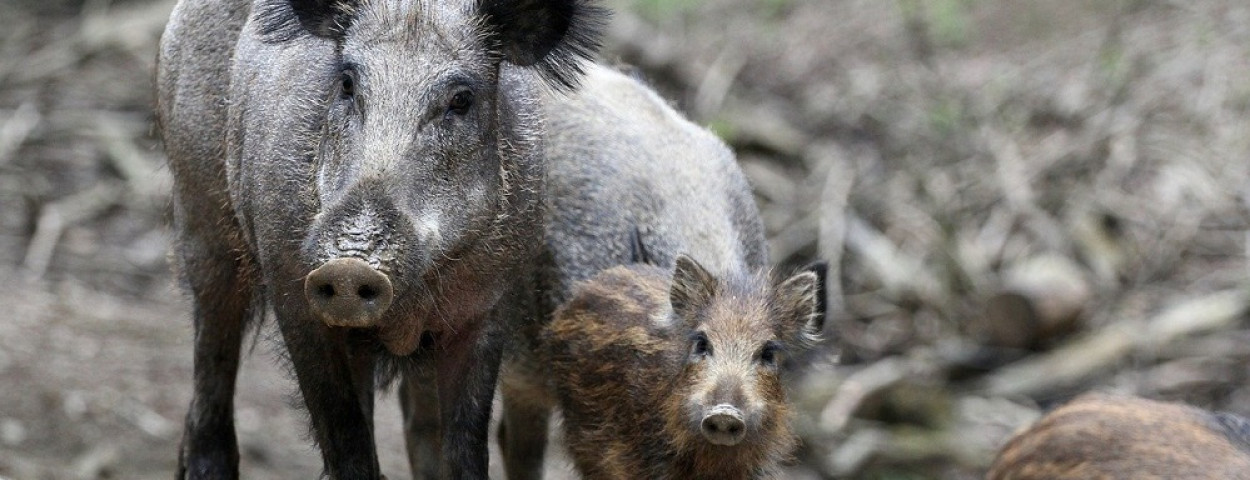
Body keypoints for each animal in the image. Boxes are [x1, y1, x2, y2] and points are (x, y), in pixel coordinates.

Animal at [154, 0, 607, 478]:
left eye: (461, 100)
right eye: (347, 84)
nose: (349, 265)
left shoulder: (488, 308)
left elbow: (466, 445)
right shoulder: (292, 292)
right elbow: (346, 437)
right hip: (198, 211)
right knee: (212, 358)